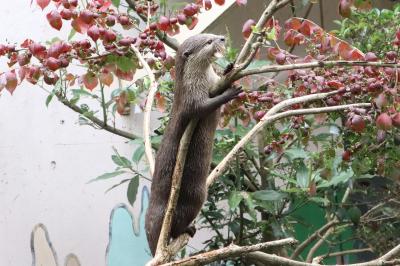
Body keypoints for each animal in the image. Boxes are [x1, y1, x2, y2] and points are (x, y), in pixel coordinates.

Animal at [145, 33, 242, 256]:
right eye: (208, 42)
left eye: (213, 36)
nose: (222, 38)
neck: (204, 79)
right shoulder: (191, 95)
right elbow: (201, 107)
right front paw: (230, 93)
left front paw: (228, 68)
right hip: (194, 196)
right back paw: (186, 229)